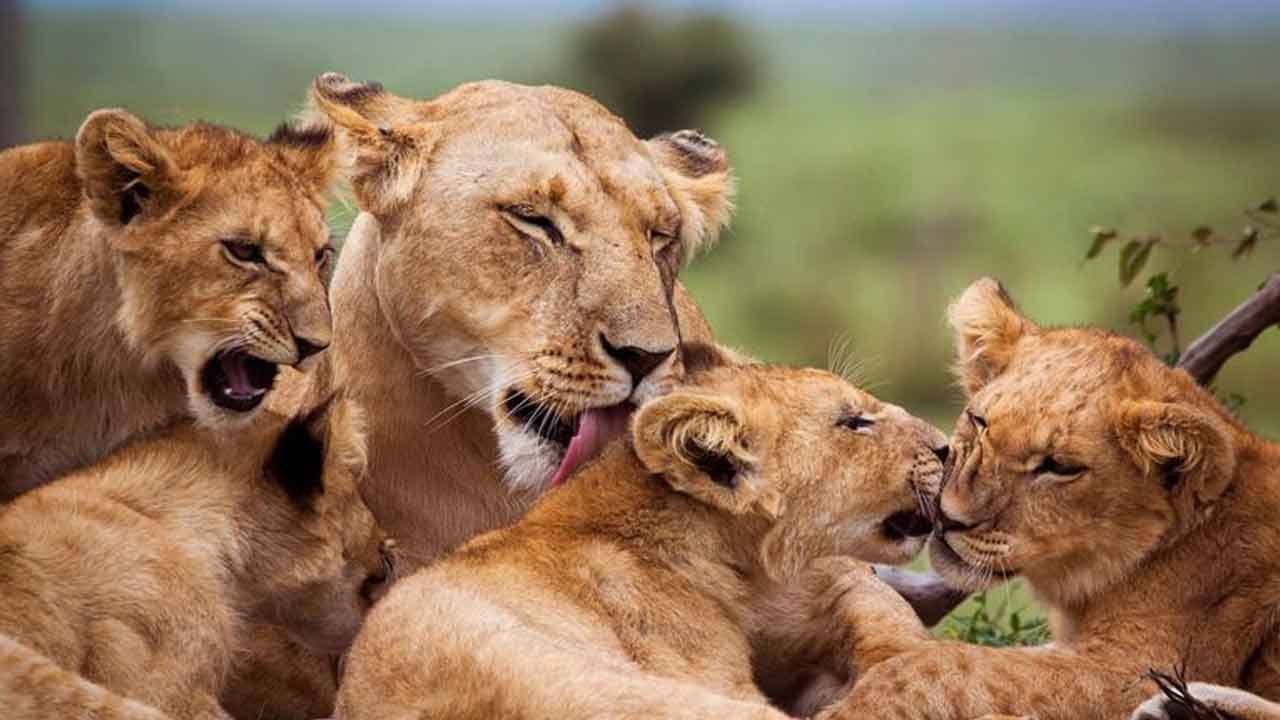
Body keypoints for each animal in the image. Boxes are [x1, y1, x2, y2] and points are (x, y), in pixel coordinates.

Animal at [814, 278, 1280, 720]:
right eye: (979, 421)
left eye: (1058, 466)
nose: (948, 517)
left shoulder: (1140, 666)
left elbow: (943, 665)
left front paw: (854, 707)